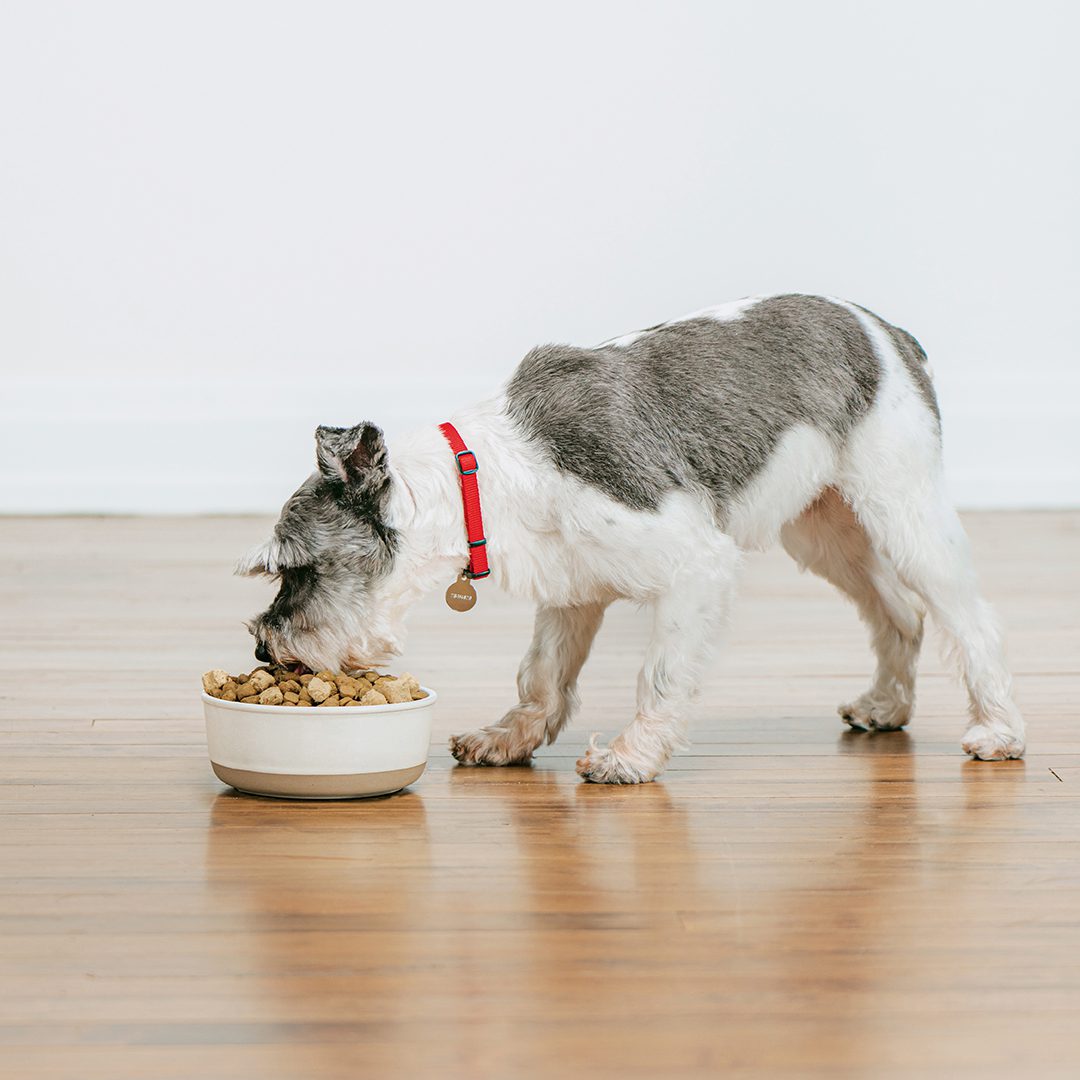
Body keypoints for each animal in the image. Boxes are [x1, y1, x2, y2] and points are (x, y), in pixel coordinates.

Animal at [238, 293, 1028, 786]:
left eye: (297, 569)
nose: (264, 649)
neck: (488, 474)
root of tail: (889, 332)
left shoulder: (695, 569)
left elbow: (662, 676)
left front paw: (631, 757)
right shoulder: (571, 592)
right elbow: (541, 676)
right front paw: (510, 737)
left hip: (907, 515)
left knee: (971, 619)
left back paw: (1000, 732)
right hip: (825, 530)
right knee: (900, 612)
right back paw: (887, 706)